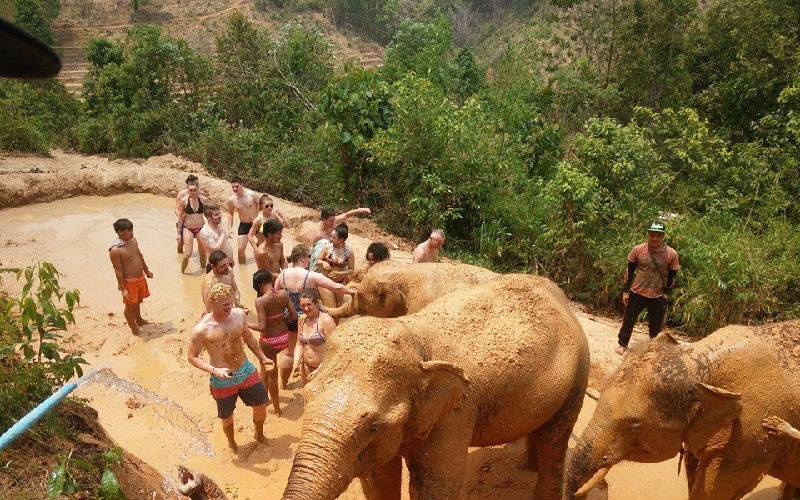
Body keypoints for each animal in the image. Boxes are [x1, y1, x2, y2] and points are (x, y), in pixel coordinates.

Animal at [282, 274, 590, 500]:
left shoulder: (455, 413)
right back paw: (527, 465)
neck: (415, 337)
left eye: (373, 426)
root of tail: (564, 299)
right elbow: (378, 480)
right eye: (307, 398)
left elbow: (435, 486)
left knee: (554, 442)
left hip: (577, 380)